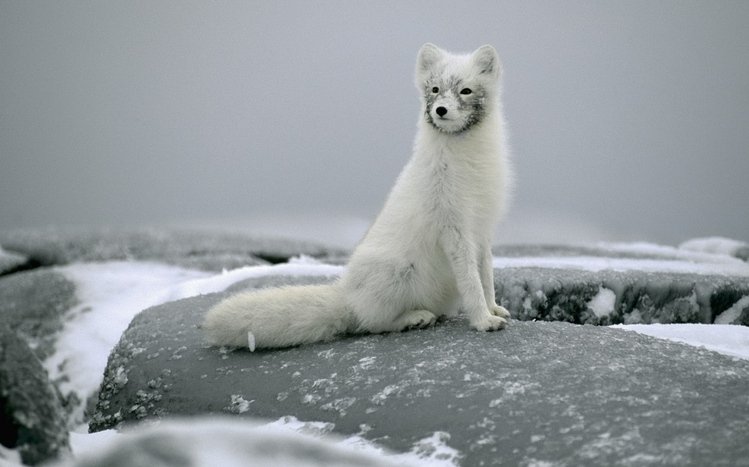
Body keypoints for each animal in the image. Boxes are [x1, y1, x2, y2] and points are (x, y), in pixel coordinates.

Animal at [203, 43, 512, 350]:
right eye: (435, 89)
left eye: (465, 91)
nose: (440, 109)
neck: (468, 161)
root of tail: (347, 294)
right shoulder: (454, 229)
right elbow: (471, 282)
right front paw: (483, 320)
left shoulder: (482, 229)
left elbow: (486, 276)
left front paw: (493, 308)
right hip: (397, 273)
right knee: (372, 323)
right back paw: (414, 318)